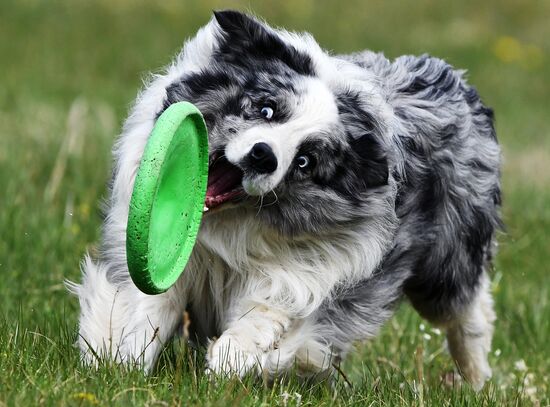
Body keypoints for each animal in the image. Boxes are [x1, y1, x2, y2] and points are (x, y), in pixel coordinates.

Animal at [67, 11, 502, 390]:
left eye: (306, 160)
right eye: (267, 108)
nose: (264, 155)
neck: (231, 224)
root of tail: (453, 79)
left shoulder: (299, 276)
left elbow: (266, 318)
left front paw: (229, 361)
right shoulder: (164, 258)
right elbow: (145, 313)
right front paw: (119, 368)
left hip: (447, 266)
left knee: (469, 311)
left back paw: (476, 381)